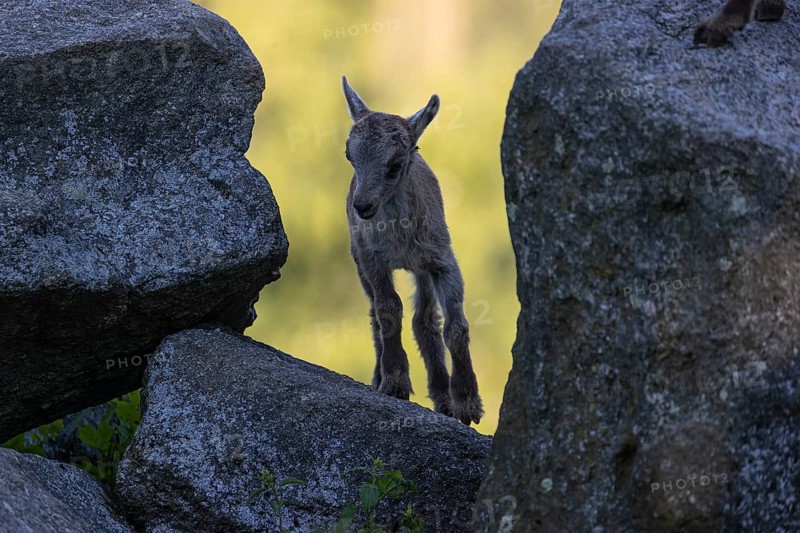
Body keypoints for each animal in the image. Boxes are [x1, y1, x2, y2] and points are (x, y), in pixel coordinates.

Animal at [341, 76, 483, 425]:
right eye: (350, 156)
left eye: (395, 164)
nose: (362, 206)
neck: (399, 237)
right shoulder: (372, 258)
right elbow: (388, 309)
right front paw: (395, 382)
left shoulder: (442, 261)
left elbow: (456, 327)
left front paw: (468, 402)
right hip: (359, 258)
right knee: (377, 316)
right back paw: (379, 376)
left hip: (422, 269)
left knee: (425, 321)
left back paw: (444, 398)